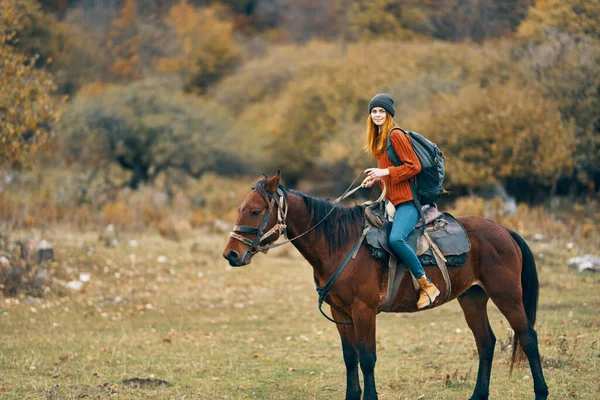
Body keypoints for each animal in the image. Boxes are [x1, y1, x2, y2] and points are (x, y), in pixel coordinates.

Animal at [221, 173, 548, 400]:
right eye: (240, 208)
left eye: (255, 211)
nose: (231, 255)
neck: (340, 244)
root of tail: (504, 230)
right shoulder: (340, 312)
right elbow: (350, 357)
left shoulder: (363, 310)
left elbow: (367, 358)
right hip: (472, 297)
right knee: (486, 342)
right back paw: (478, 395)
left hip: (507, 296)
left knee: (528, 338)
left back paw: (541, 392)